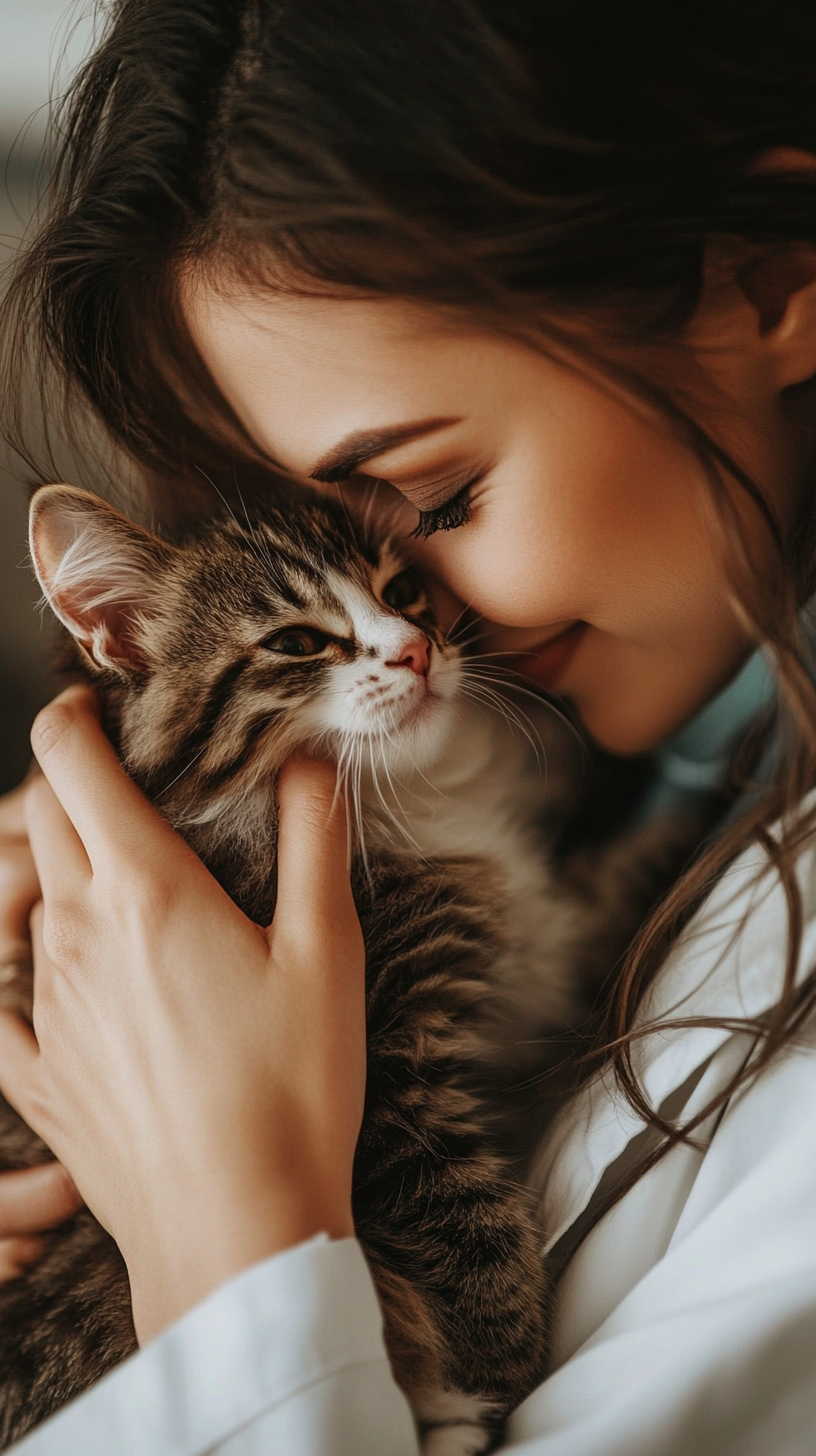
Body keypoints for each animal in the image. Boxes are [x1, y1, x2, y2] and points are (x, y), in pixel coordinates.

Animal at [0, 483, 579, 1450]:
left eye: (406, 592)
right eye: (298, 643)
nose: (419, 648)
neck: (410, 801)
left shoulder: (525, 967)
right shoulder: (389, 1087)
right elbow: (466, 1217)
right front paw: (504, 1365)